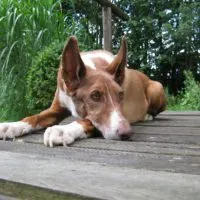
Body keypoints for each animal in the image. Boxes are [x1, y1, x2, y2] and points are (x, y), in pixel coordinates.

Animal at [0, 36, 166, 147]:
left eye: (121, 95)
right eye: (95, 95)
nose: (127, 133)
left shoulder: (120, 113)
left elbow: (88, 120)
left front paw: (63, 130)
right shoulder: (56, 109)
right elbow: (34, 117)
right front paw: (12, 125)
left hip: (157, 87)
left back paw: (147, 116)